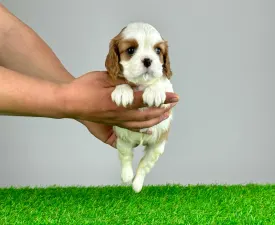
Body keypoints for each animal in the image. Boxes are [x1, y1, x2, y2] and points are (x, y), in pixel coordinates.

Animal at [105, 22, 175, 192]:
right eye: (130, 50)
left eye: (158, 50)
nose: (148, 60)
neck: (142, 84)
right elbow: (120, 81)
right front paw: (123, 91)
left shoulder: (170, 92)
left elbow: (161, 82)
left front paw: (154, 91)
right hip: (122, 139)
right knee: (126, 156)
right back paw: (127, 176)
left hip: (157, 145)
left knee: (144, 164)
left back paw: (136, 184)